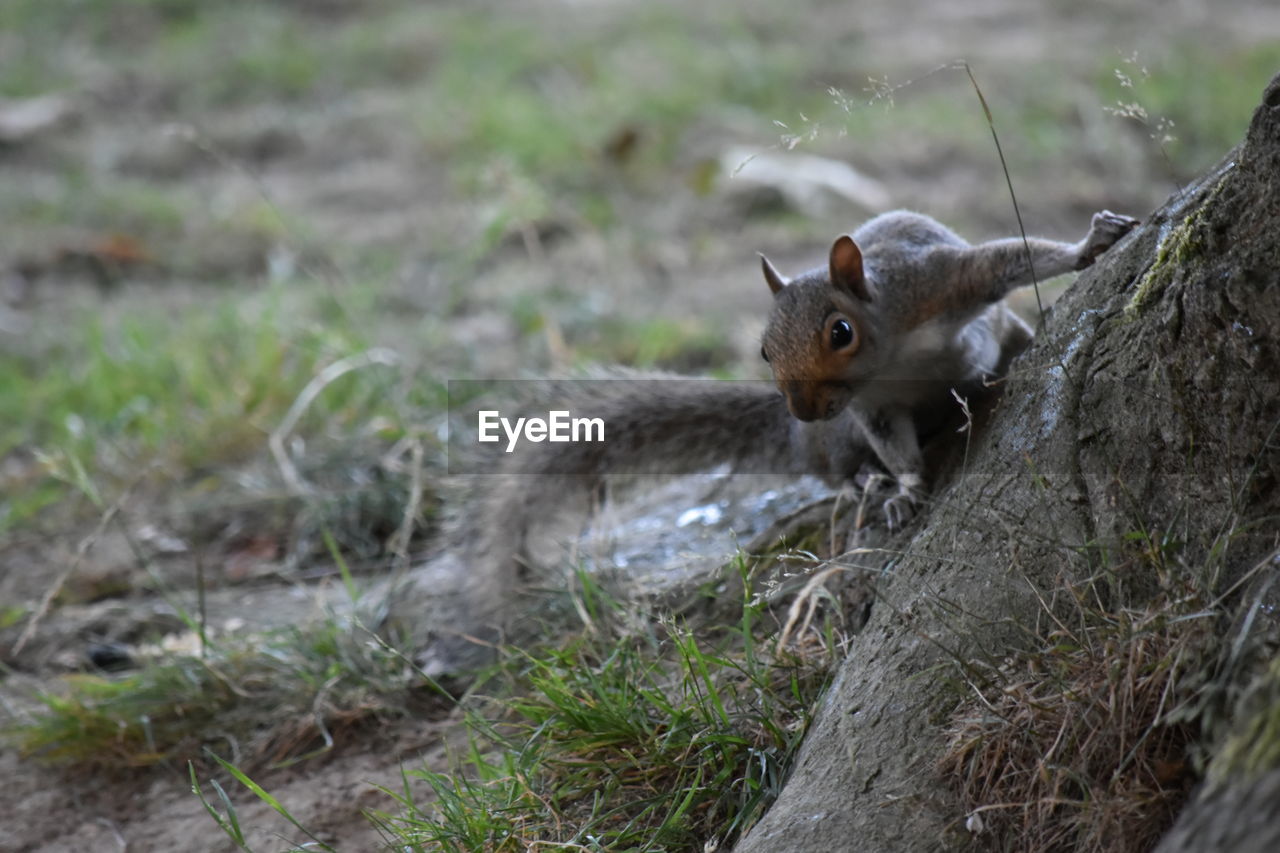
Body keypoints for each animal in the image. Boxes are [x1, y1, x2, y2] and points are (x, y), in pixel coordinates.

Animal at [412, 206, 1141, 671]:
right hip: (839, 440)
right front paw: (905, 488)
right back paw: (864, 481)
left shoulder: (936, 283)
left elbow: (1006, 261)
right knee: (839, 469)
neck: (888, 354)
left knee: (1011, 328)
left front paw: (1088, 246)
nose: (804, 408)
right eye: (764, 349)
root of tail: (800, 440)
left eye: (840, 332)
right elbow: (894, 445)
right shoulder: (872, 412)